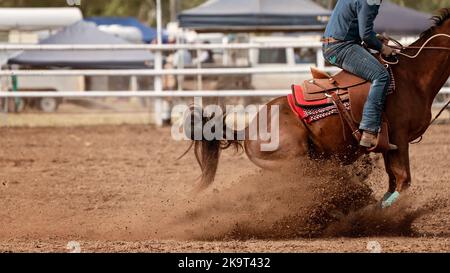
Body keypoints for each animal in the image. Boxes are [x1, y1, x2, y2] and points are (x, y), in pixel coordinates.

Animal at [188, 9, 450, 206]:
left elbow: (393, 182)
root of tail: (247, 130)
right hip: (298, 162)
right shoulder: (399, 137)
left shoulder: (390, 145)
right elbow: (403, 181)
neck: (412, 76)